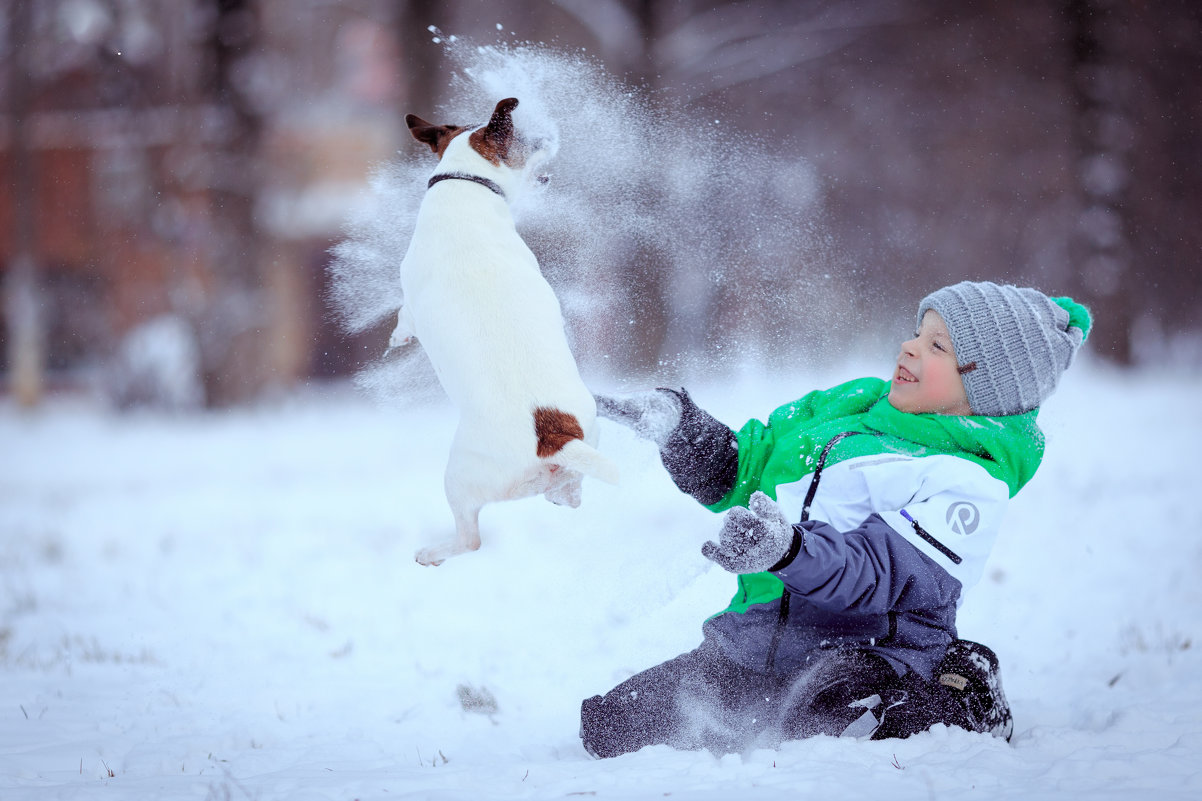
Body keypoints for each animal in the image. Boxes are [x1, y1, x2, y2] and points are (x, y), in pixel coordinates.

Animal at [391, 96, 620, 565]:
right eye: (531, 142)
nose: (549, 141)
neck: (467, 182)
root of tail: (554, 435)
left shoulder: (411, 298)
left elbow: (405, 315)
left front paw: (396, 337)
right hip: (587, 445)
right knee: (568, 494)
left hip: (459, 475)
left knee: (470, 540)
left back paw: (434, 552)